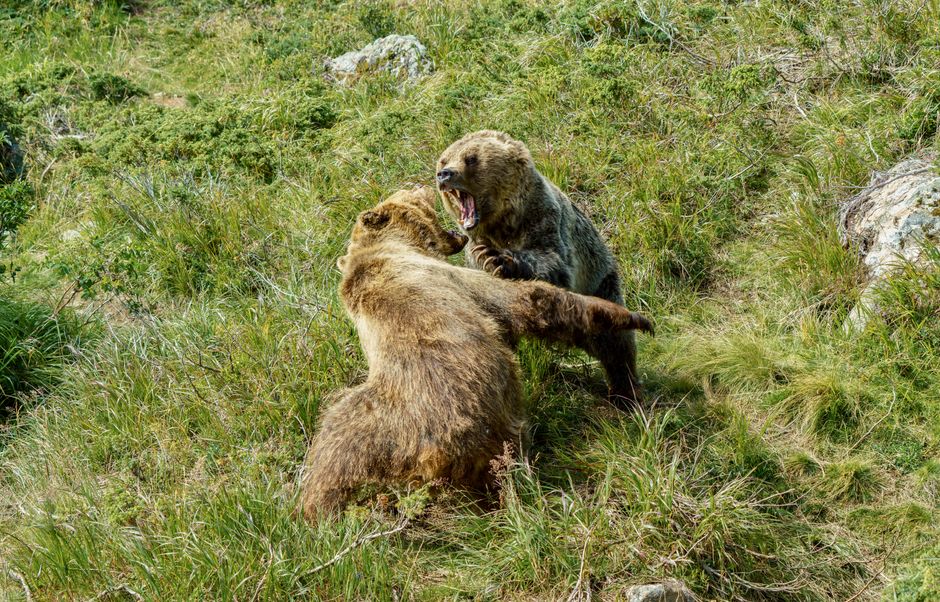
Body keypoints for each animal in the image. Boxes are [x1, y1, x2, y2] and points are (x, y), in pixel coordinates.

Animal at [300, 187, 653, 522]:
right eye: (407, 195)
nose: (421, 185)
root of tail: (432, 456)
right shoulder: (444, 277)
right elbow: (527, 299)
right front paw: (631, 317)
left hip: (375, 432)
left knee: (332, 449)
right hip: (472, 418)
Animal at [436, 130, 643, 406]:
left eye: (471, 158)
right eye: (444, 159)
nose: (444, 174)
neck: (504, 222)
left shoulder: (544, 219)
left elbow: (552, 263)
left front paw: (499, 259)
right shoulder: (473, 245)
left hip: (599, 282)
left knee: (614, 340)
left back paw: (625, 391)